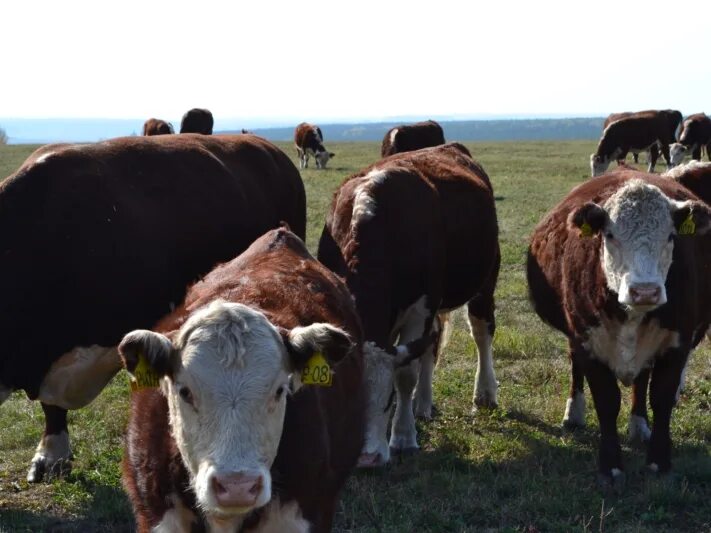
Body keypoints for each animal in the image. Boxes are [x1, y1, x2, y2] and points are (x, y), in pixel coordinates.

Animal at [318, 141, 500, 466]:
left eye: (388, 398)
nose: (366, 459)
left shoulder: (420, 309)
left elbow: (405, 375)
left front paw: (403, 437)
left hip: (485, 281)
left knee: (481, 332)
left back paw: (485, 392)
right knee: (432, 343)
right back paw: (422, 404)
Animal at [528, 168, 711, 488]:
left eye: (670, 236)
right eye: (610, 235)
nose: (645, 291)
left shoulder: (677, 341)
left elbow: (661, 397)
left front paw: (658, 461)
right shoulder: (587, 341)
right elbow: (606, 401)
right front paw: (611, 466)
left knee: (642, 378)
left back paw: (638, 425)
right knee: (575, 367)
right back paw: (573, 413)